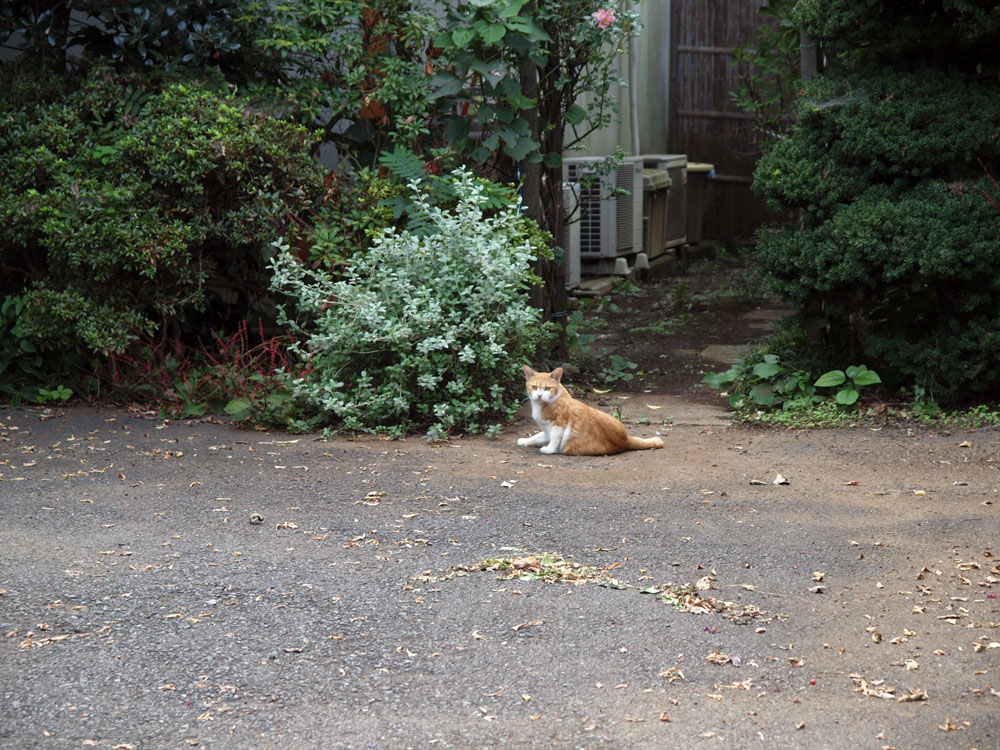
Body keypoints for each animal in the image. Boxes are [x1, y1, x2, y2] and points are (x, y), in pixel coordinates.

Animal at [516, 366, 664, 458]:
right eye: (534, 387)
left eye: (547, 388)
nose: (539, 395)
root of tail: (625, 440)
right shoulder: (546, 430)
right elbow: (537, 436)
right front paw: (525, 441)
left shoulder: (559, 425)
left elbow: (555, 439)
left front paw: (549, 449)